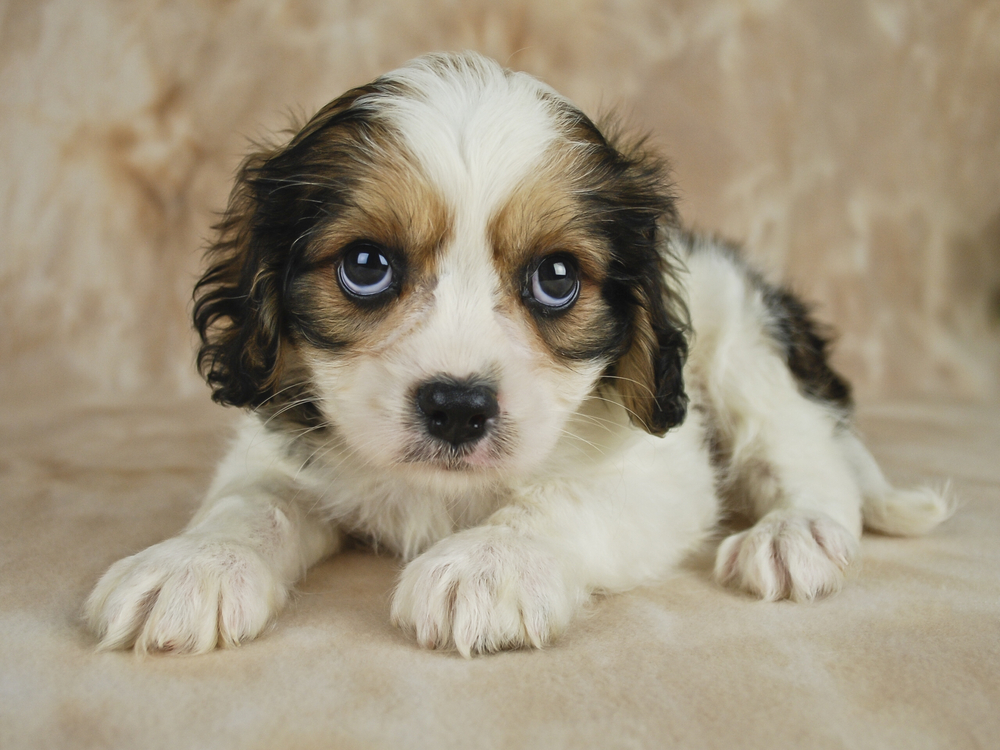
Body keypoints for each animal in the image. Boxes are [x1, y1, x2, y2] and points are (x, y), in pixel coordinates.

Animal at [86, 51, 952, 656]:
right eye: (365, 266)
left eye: (557, 278)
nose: (458, 408)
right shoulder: (281, 450)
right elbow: (250, 502)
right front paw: (195, 562)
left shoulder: (659, 474)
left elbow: (556, 499)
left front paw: (491, 563)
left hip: (745, 340)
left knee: (811, 459)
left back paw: (795, 533)